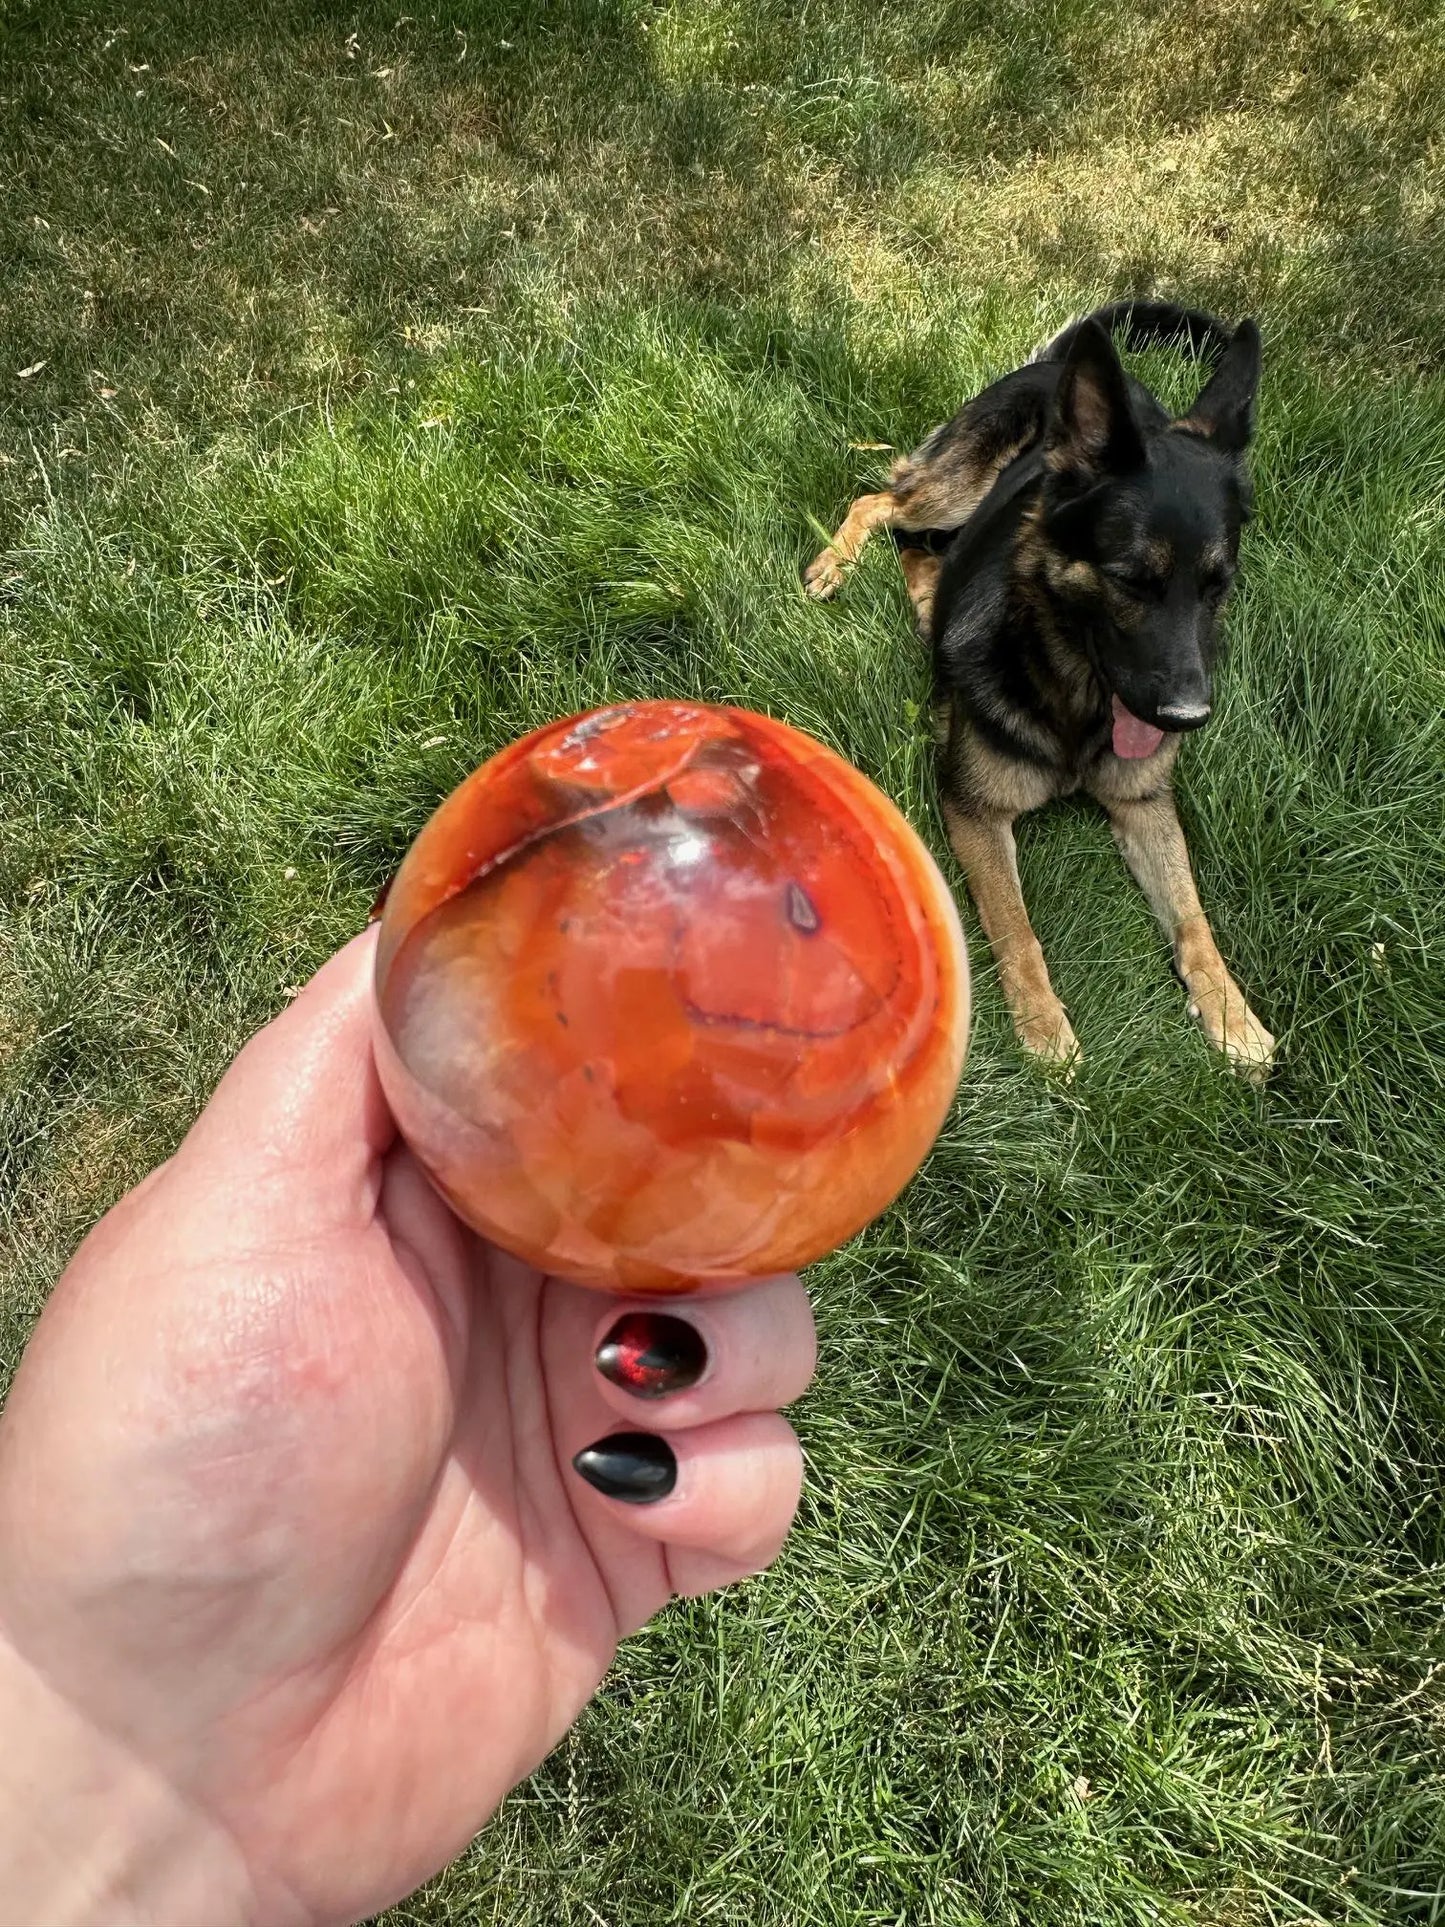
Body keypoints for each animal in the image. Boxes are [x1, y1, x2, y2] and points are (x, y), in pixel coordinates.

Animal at [805, 302, 1279, 1086]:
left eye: (1218, 586)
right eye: (1130, 581)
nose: (1188, 717)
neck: (1075, 699)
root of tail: (1061, 362)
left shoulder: (1144, 805)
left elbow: (1193, 919)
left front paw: (1231, 1014)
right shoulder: (972, 811)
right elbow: (1017, 928)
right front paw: (1044, 1028)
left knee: (918, 550)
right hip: (950, 490)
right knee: (880, 502)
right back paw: (833, 563)